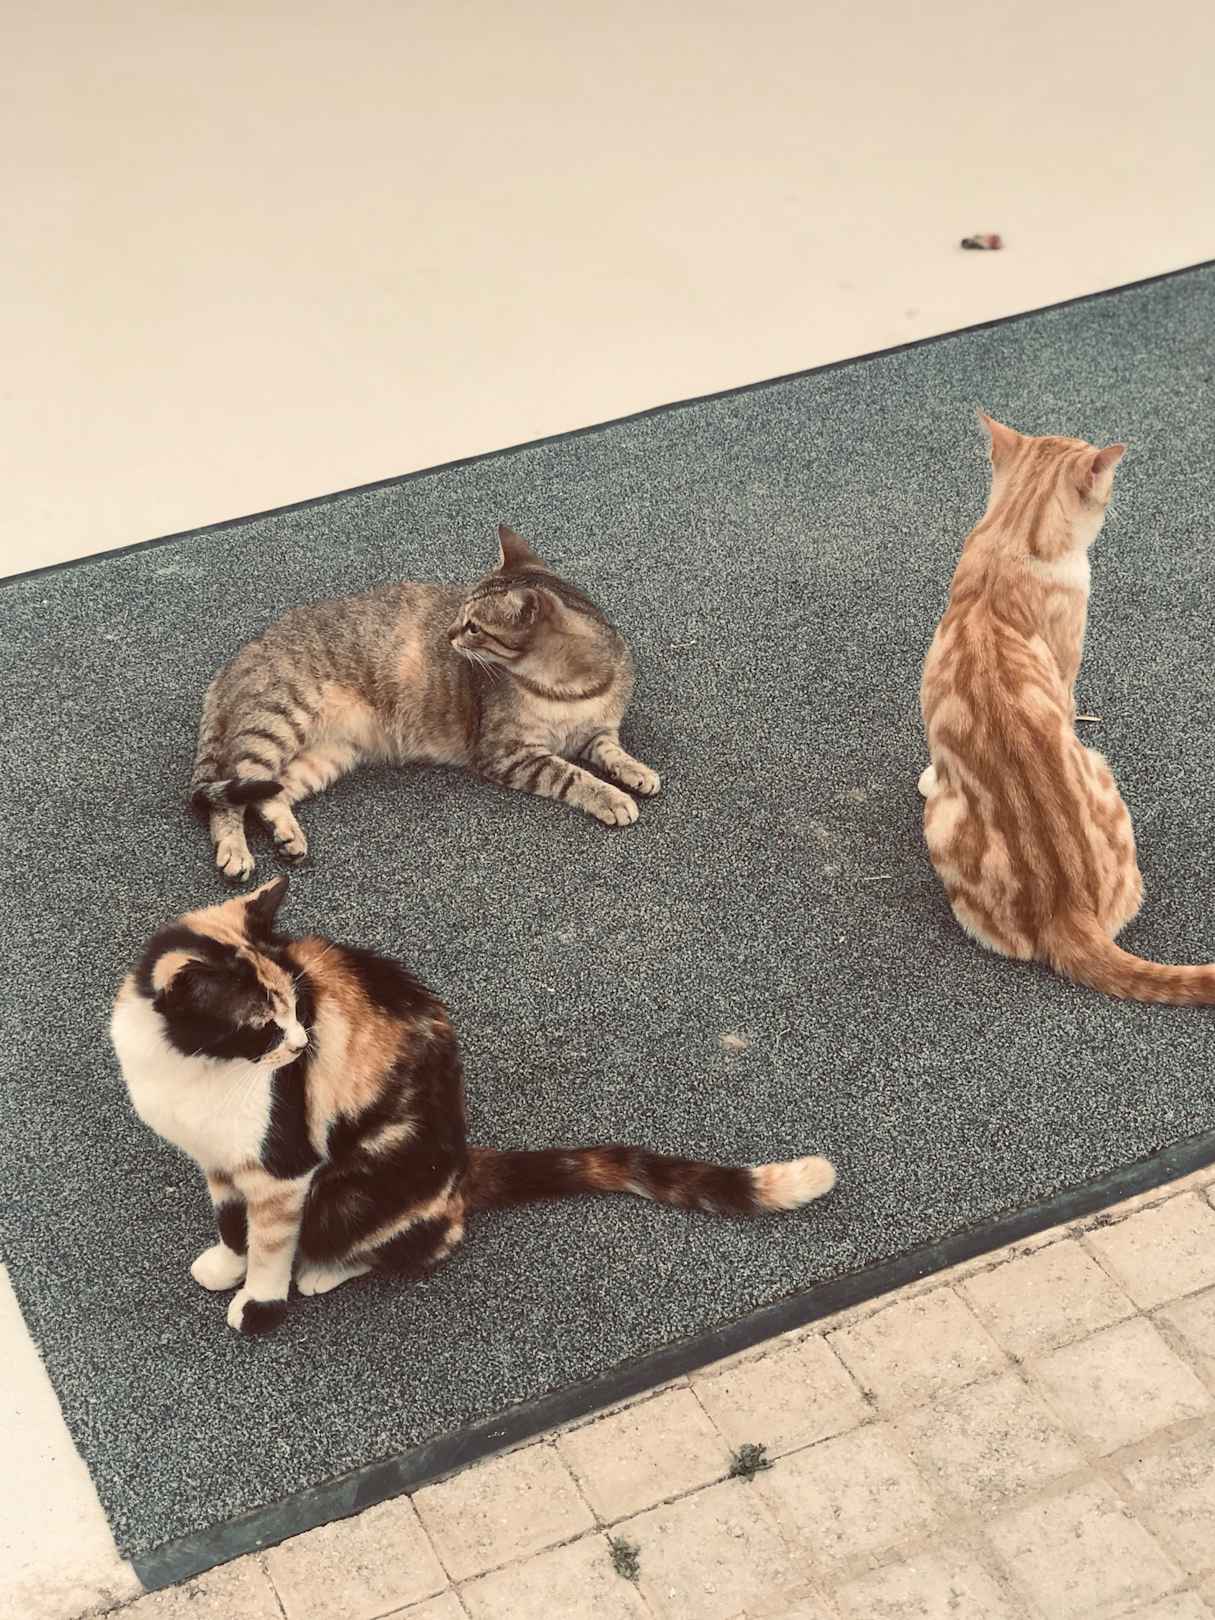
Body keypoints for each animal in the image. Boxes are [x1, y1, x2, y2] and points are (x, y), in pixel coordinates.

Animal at [109, 876, 837, 1335]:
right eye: (263, 1024)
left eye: (295, 1006)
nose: (299, 1043)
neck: (191, 1070)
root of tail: (462, 1164)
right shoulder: (220, 1161)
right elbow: (234, 1225)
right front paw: (225, 1263)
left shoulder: (284, 1168)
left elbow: (268, 1243)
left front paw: (258, 1303)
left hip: (359, 1190)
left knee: (428, 1238)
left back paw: (321, 1270)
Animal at [191, 525, 660, 882]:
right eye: (462, 617)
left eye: (474, 627)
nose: (449, 633)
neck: (571, 687)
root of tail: (233, 663)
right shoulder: (507, 753)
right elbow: (573, 776)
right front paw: (611, 798)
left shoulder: (597, 733)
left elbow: (612, 753)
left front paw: (637, 773)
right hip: (278, 721)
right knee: (227, 797)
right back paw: (235, 850)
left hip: (325, 755)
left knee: (267, 793)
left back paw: (287, 835)